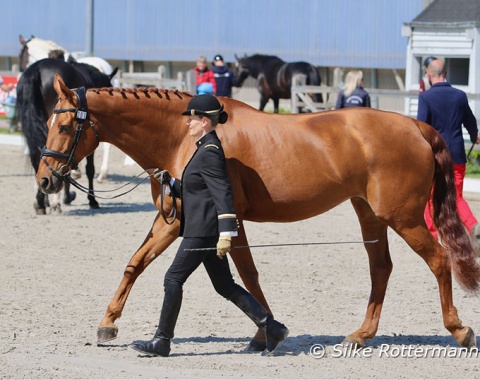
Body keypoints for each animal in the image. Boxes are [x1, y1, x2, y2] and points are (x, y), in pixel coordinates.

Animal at [16, 59, 117, 214]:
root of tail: (37, 68)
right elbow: (89, 169)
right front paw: (92, 200)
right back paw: (54, 202)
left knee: (37, 158)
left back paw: (41, 202)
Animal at [36, 75, 480, 354]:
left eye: (64, 126)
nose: (45, 180)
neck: (183, 136)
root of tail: (415, 126)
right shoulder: (178, 219)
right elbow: (136, 263)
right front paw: (108, 323)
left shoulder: (216, 218)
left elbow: (246, 275)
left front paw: (266, 333)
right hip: (370, 214)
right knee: (381, 269)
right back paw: (360, 334)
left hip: (403, 217)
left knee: (439, 261)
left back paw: (460, 331)